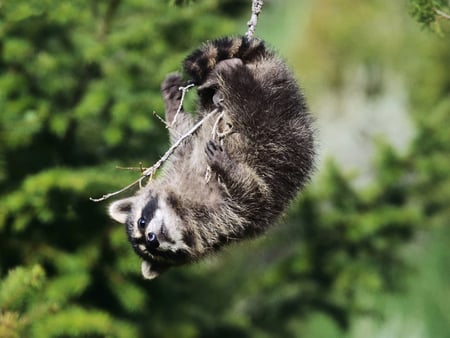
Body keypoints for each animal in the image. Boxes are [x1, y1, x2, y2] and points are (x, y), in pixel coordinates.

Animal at [108, 36, 312, 280]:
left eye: (142, 222)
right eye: (153, 251)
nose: (152, 239)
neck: (181, 211)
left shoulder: (184, 166)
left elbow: (184, 137)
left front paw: (172, 106)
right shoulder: (228, 222)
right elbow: (253, 195)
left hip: (274, 114)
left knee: (252, 107)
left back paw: (233, 75)